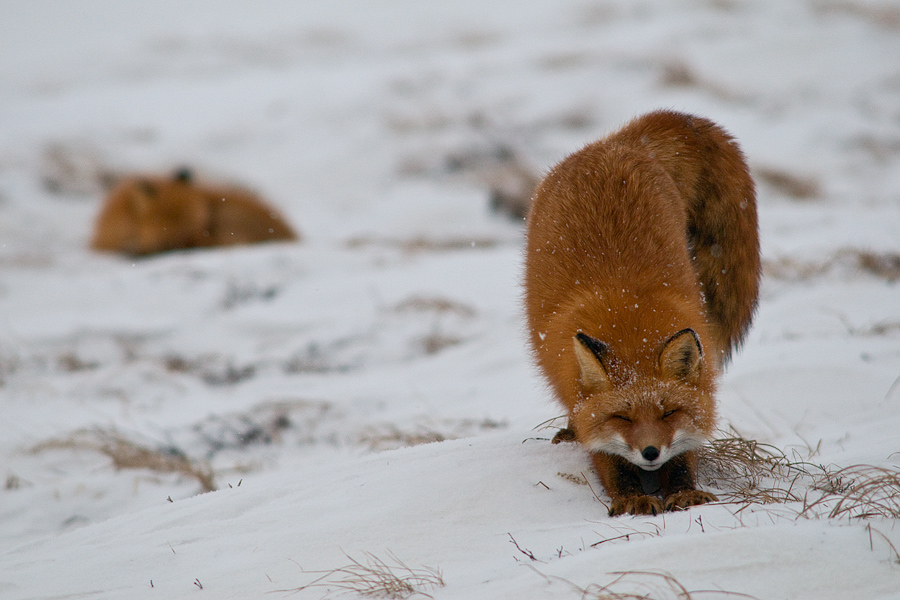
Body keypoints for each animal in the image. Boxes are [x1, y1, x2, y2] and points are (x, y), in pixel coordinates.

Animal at [524, 111, 764, 516]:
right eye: (623, 417)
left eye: (668, 413)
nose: (651, 452)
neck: (630, 322)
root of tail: (617, 143)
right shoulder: (585, 407)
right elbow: (610, 462)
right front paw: (631, 498)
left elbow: (684, 456)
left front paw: (685, 492)